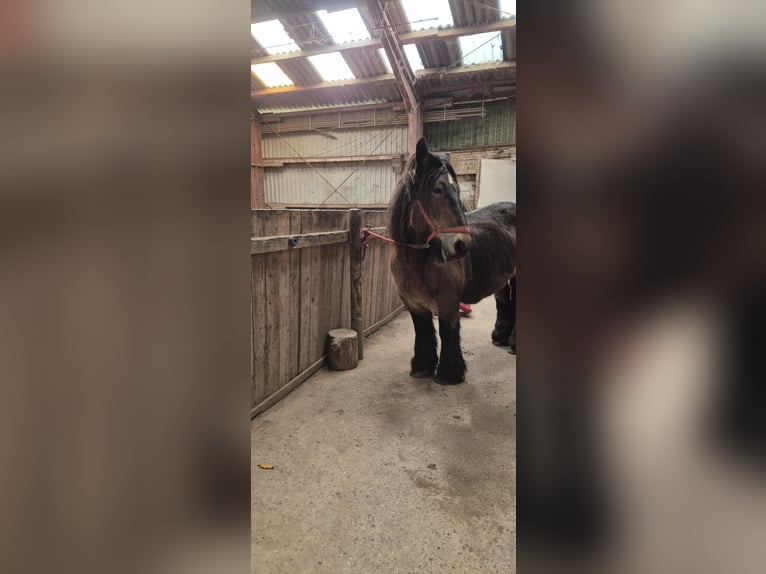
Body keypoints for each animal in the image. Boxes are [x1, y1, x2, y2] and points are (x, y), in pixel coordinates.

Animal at [388, 138, 516, 384]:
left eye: (457, 190)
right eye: (437, 189)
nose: (462, 245)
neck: (417, 262)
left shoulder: (448, 300)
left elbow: (448, 332)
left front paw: (449, 373)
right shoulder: (413, 302)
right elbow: (423, 332)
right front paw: (422, 367)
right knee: (504, 301)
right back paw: (500, 336)